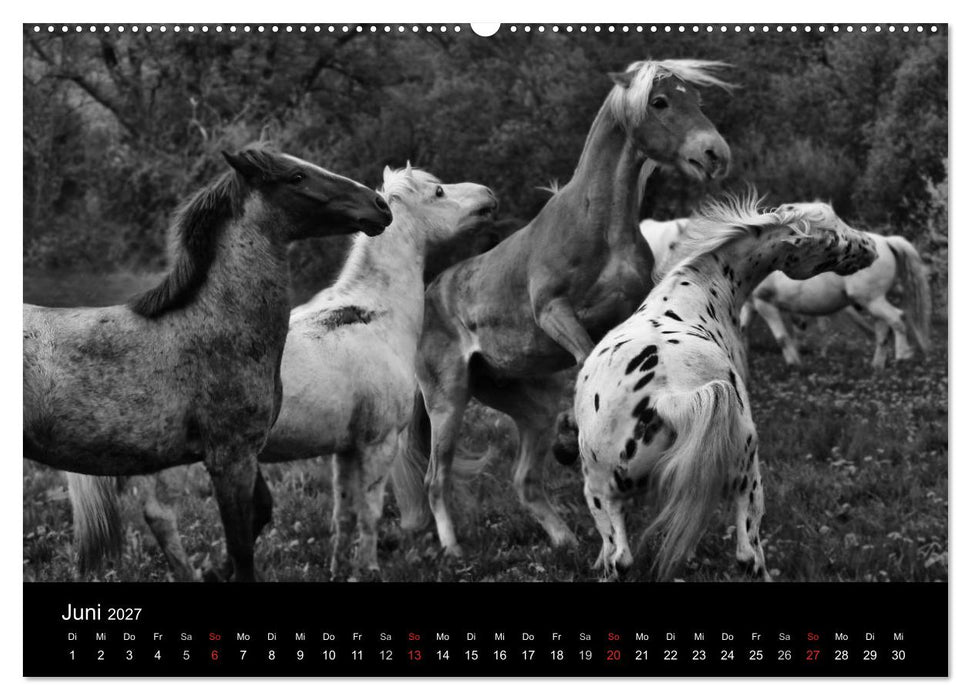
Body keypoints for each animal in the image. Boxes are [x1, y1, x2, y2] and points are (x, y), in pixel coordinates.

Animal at [24, 146, 392, 581]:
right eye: (296, 177)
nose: (379, 206)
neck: (213, 326)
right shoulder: (229, 458)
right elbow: (241, 548)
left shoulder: (246, 453)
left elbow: (260, 514)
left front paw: (214, 571)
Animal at [66, 165, 497, 579]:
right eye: (438, 191)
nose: (488, 195)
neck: (374, 315)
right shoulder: (379, 442)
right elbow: (370, 514)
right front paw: (368, 569)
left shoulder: (346, 448)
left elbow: (343, 513)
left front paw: (339, 569)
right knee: (162, 517)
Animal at [391, 59, 733, 558]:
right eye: (659, 101)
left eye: (699, 99)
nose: (715, 154)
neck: (598, 225)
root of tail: (429, 298)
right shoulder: (554, 312)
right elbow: (586, 357)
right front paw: (576, 435)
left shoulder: (624, 317)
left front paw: (576, 438)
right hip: (447, 401)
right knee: (436, 478)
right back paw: (453, 550)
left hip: (519, 403)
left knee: (524, 479)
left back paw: (563, 537)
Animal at [572, 196, 877, 581]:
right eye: (833, 235)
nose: (872, 247)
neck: (691, 297)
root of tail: (666, 396)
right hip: (745, 482)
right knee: (747, 557)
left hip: (611, 495)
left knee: (623, 559)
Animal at [739, 230, 931, 369]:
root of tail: (886, 241)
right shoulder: (751, 305)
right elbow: (742, 328)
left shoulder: (764, 303)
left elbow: (782, 337)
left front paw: (794, 363)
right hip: (874, 301)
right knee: (884, 329)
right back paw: (877, 365)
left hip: (871, 300)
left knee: (897, 319)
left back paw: (902, 356)